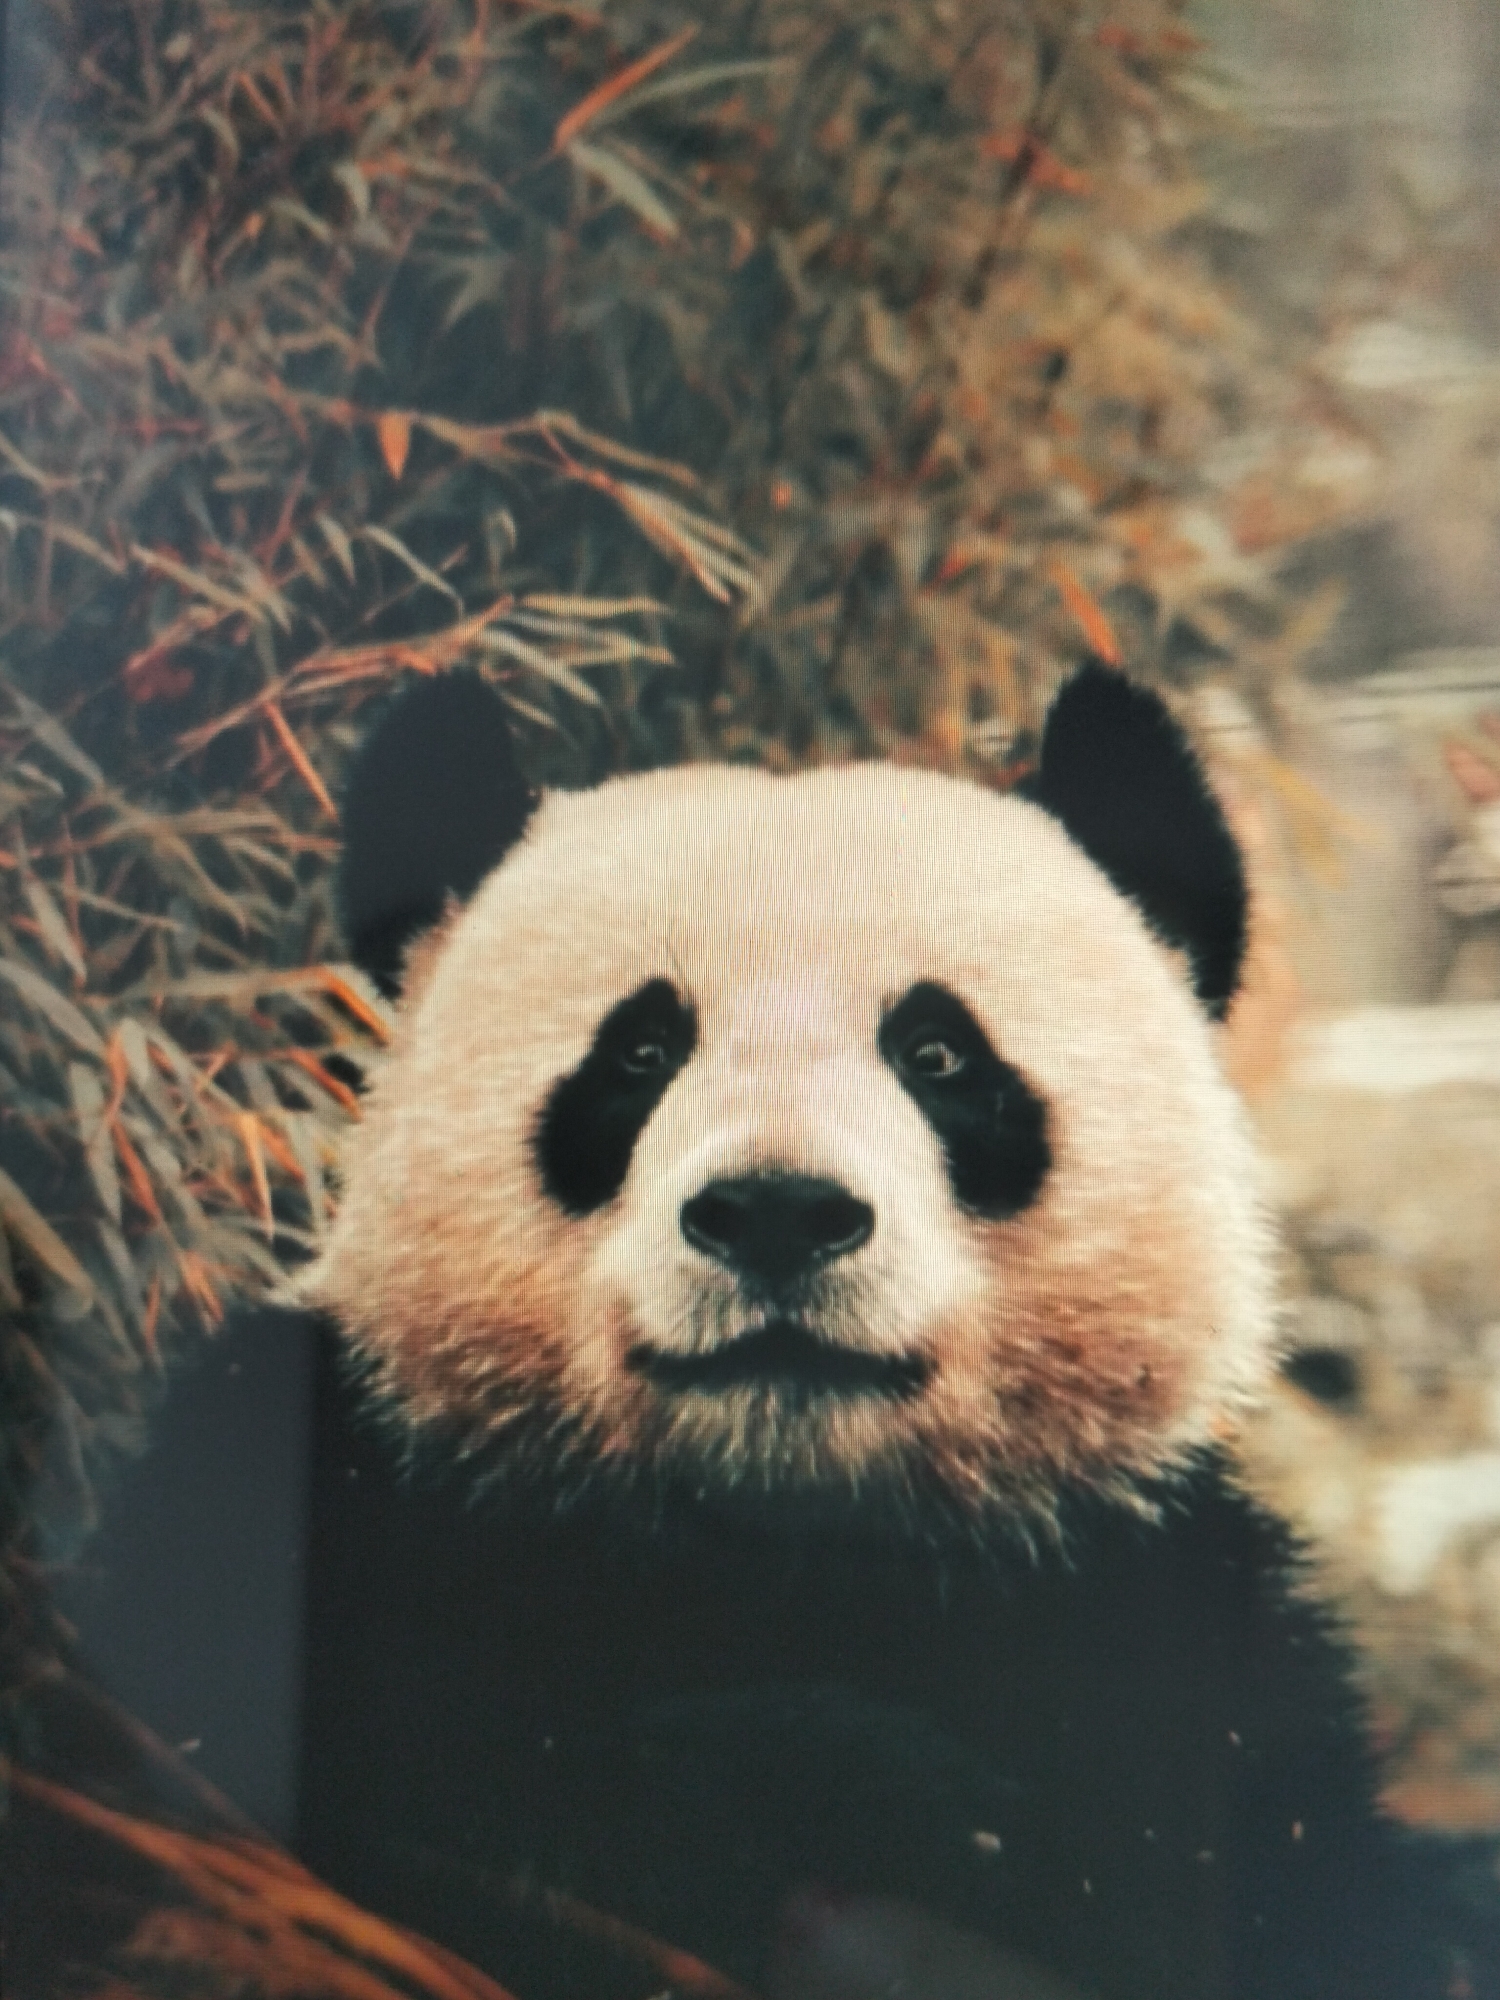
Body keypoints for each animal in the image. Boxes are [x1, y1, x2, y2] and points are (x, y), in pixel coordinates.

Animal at [293, 663, 1481, 2000]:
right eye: (639, 1050)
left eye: (939, 1052)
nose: (777, 1210)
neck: (794, 1539)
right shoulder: (381, 1500)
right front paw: (861, 1784)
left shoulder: (1183, 1614)